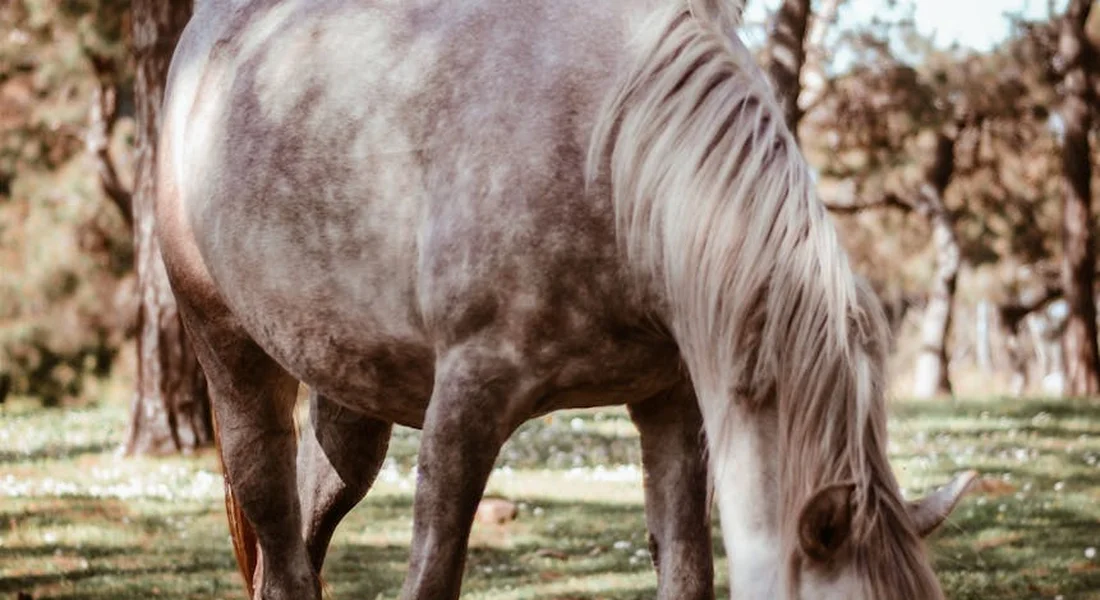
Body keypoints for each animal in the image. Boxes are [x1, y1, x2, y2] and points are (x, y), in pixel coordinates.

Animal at [157, 0, 974, 598]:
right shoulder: (466, 402)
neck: (615, 155)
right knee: (276, 528)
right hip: (231, 355)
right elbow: (433, 576)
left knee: (300, 536)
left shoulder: (674, 408)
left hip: (351, 393)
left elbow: (686, 573)